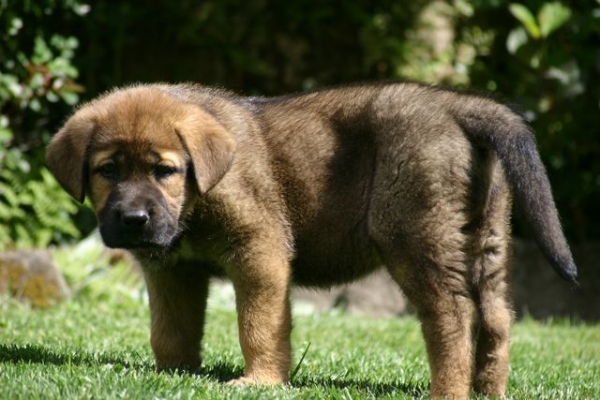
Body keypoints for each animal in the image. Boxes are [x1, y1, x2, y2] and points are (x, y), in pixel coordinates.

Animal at [45, 83, 576, 398]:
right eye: (108, 171)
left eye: (164, 171)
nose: (134, 219)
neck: (193, 207)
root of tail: (456, 104)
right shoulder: (172, 270)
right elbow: (171, 329)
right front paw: (172, 374)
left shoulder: (259, 251)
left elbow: (258, 325)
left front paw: (259, 381)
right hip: (486, 238)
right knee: (497, 318)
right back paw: (488, 390)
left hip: (417, 234)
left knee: (452, 314)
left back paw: (447, 391)